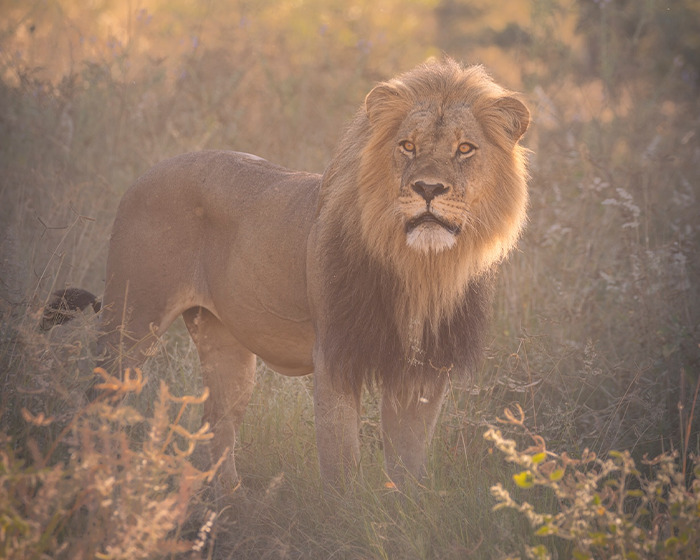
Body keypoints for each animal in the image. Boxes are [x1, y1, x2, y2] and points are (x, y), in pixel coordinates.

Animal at [44, 58, 529, 488]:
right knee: (97, 405)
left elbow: (409, 467)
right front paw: (347, 521)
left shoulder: (425, 369)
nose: (428, 188)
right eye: (407, 146)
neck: (423, 268)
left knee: (216, 422)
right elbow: (341, 464)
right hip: (131, 322)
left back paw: (229, 503)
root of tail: (144, 174)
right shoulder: (335, 355)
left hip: (224, 342)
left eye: (465, 149)